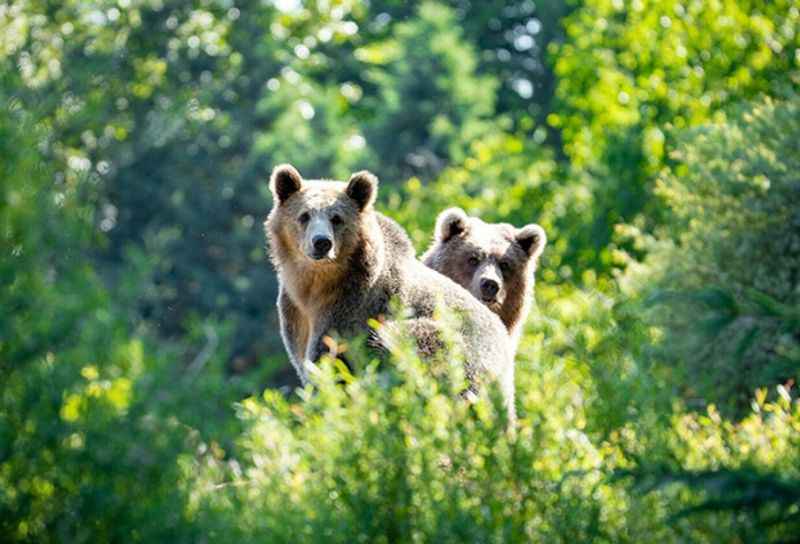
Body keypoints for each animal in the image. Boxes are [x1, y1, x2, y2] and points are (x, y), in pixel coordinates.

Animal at [262, 164, 512, 418]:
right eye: (304, 215)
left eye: (336, 218)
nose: (322, 242)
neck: (316, 285)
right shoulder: (294, 311)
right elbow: (303, 357)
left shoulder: (353, 302)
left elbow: (330, 357)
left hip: (460, 352)